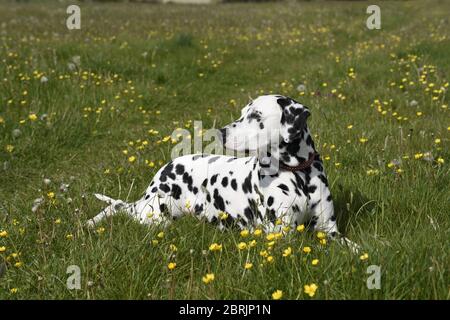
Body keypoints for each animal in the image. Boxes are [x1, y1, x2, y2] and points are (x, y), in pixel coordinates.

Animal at [89, 94, 358, 251]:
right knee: (118, 208)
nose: (220, 132)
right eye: (242, 113)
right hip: (156, 215)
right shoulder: (281, 236)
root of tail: (165, 168)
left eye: (256, 115)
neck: (297, 174)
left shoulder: (329, 230)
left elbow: (353, 248)